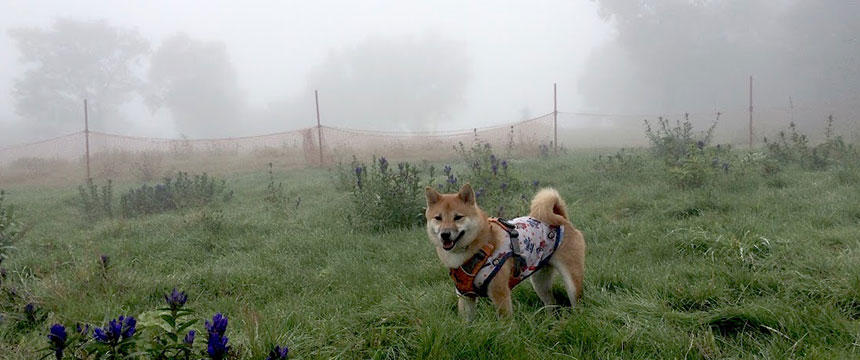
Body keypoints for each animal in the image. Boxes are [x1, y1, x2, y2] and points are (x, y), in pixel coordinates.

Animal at [424, 184, 584, 320]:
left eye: (458, 217)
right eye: (438, 218)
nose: (445, 234)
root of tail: (563, 219)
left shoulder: (500, 294)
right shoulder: (465, 297)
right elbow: (466, 324)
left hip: (572, 283)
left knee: (576, 302)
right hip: (540, 282)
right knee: (551, 302)